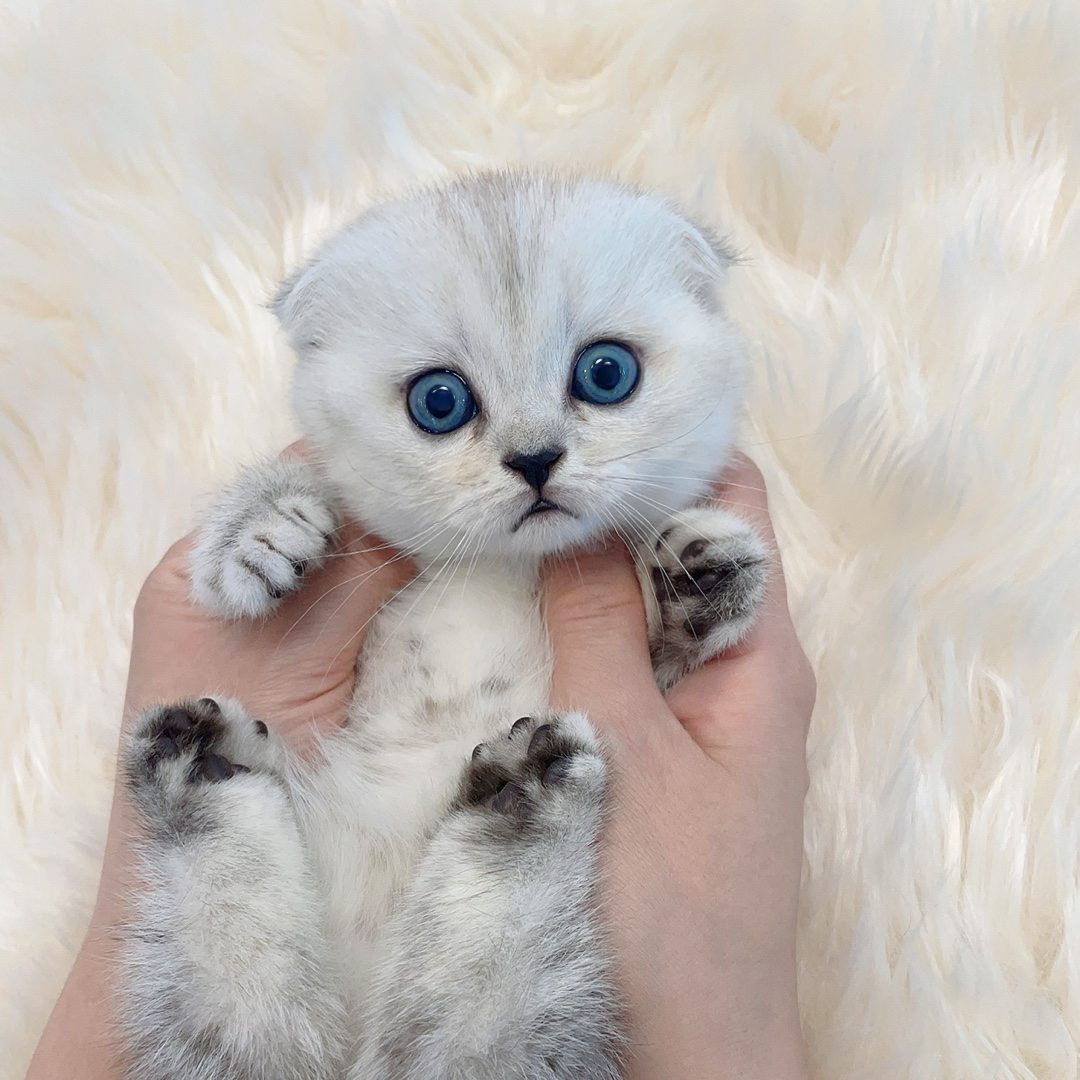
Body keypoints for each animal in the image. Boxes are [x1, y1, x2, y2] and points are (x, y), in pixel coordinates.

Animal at [119, 170, 767, 1080]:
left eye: (607, 373)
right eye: (440, 401)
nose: (535, 460)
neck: (500, 573)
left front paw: (697, 578)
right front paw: (264, 526)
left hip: (521, 1013)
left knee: (450, 1029)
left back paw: (521, 802)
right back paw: (201, 768)